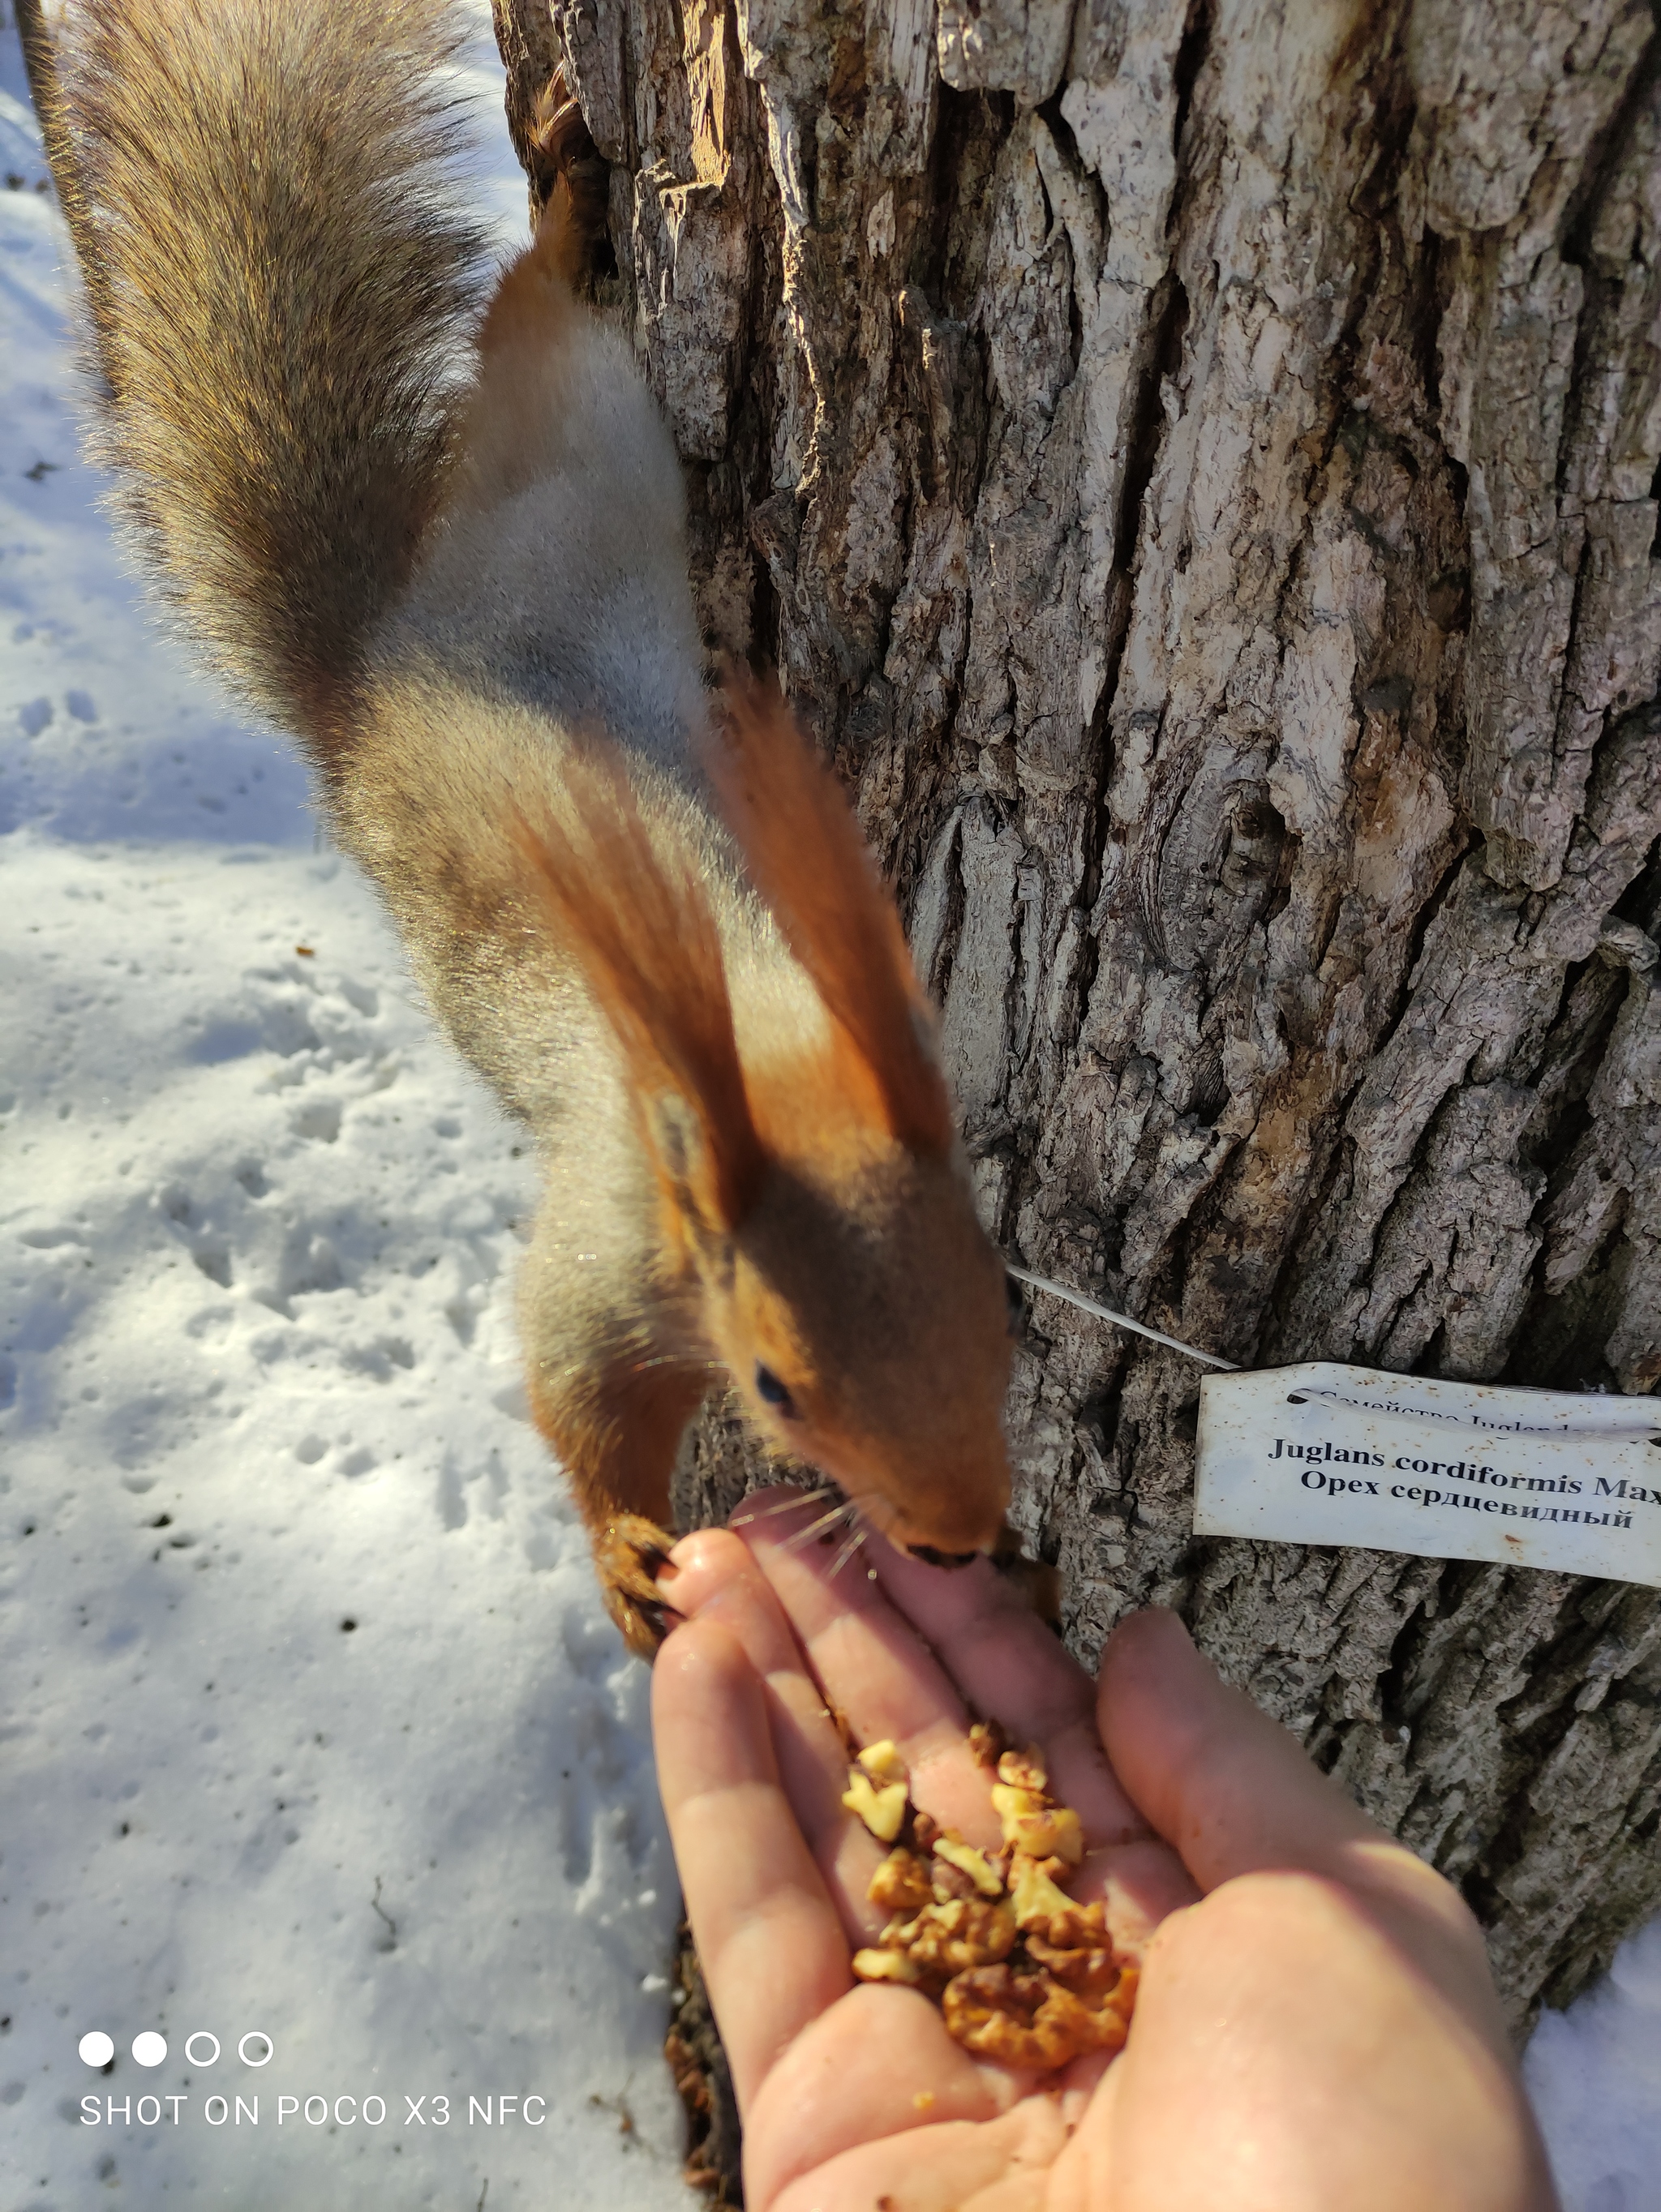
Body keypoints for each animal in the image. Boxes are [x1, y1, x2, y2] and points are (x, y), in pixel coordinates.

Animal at [22, 0, 1012, 1654]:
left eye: (1002, 1315)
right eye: (776, 1385)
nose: (962, 1544)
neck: (769, 1053)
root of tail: (374, 681)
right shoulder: (603, 1238)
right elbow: (569, 1388)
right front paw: (624, 1556)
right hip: (579, 434)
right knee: (533, 316)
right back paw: (559, 212)